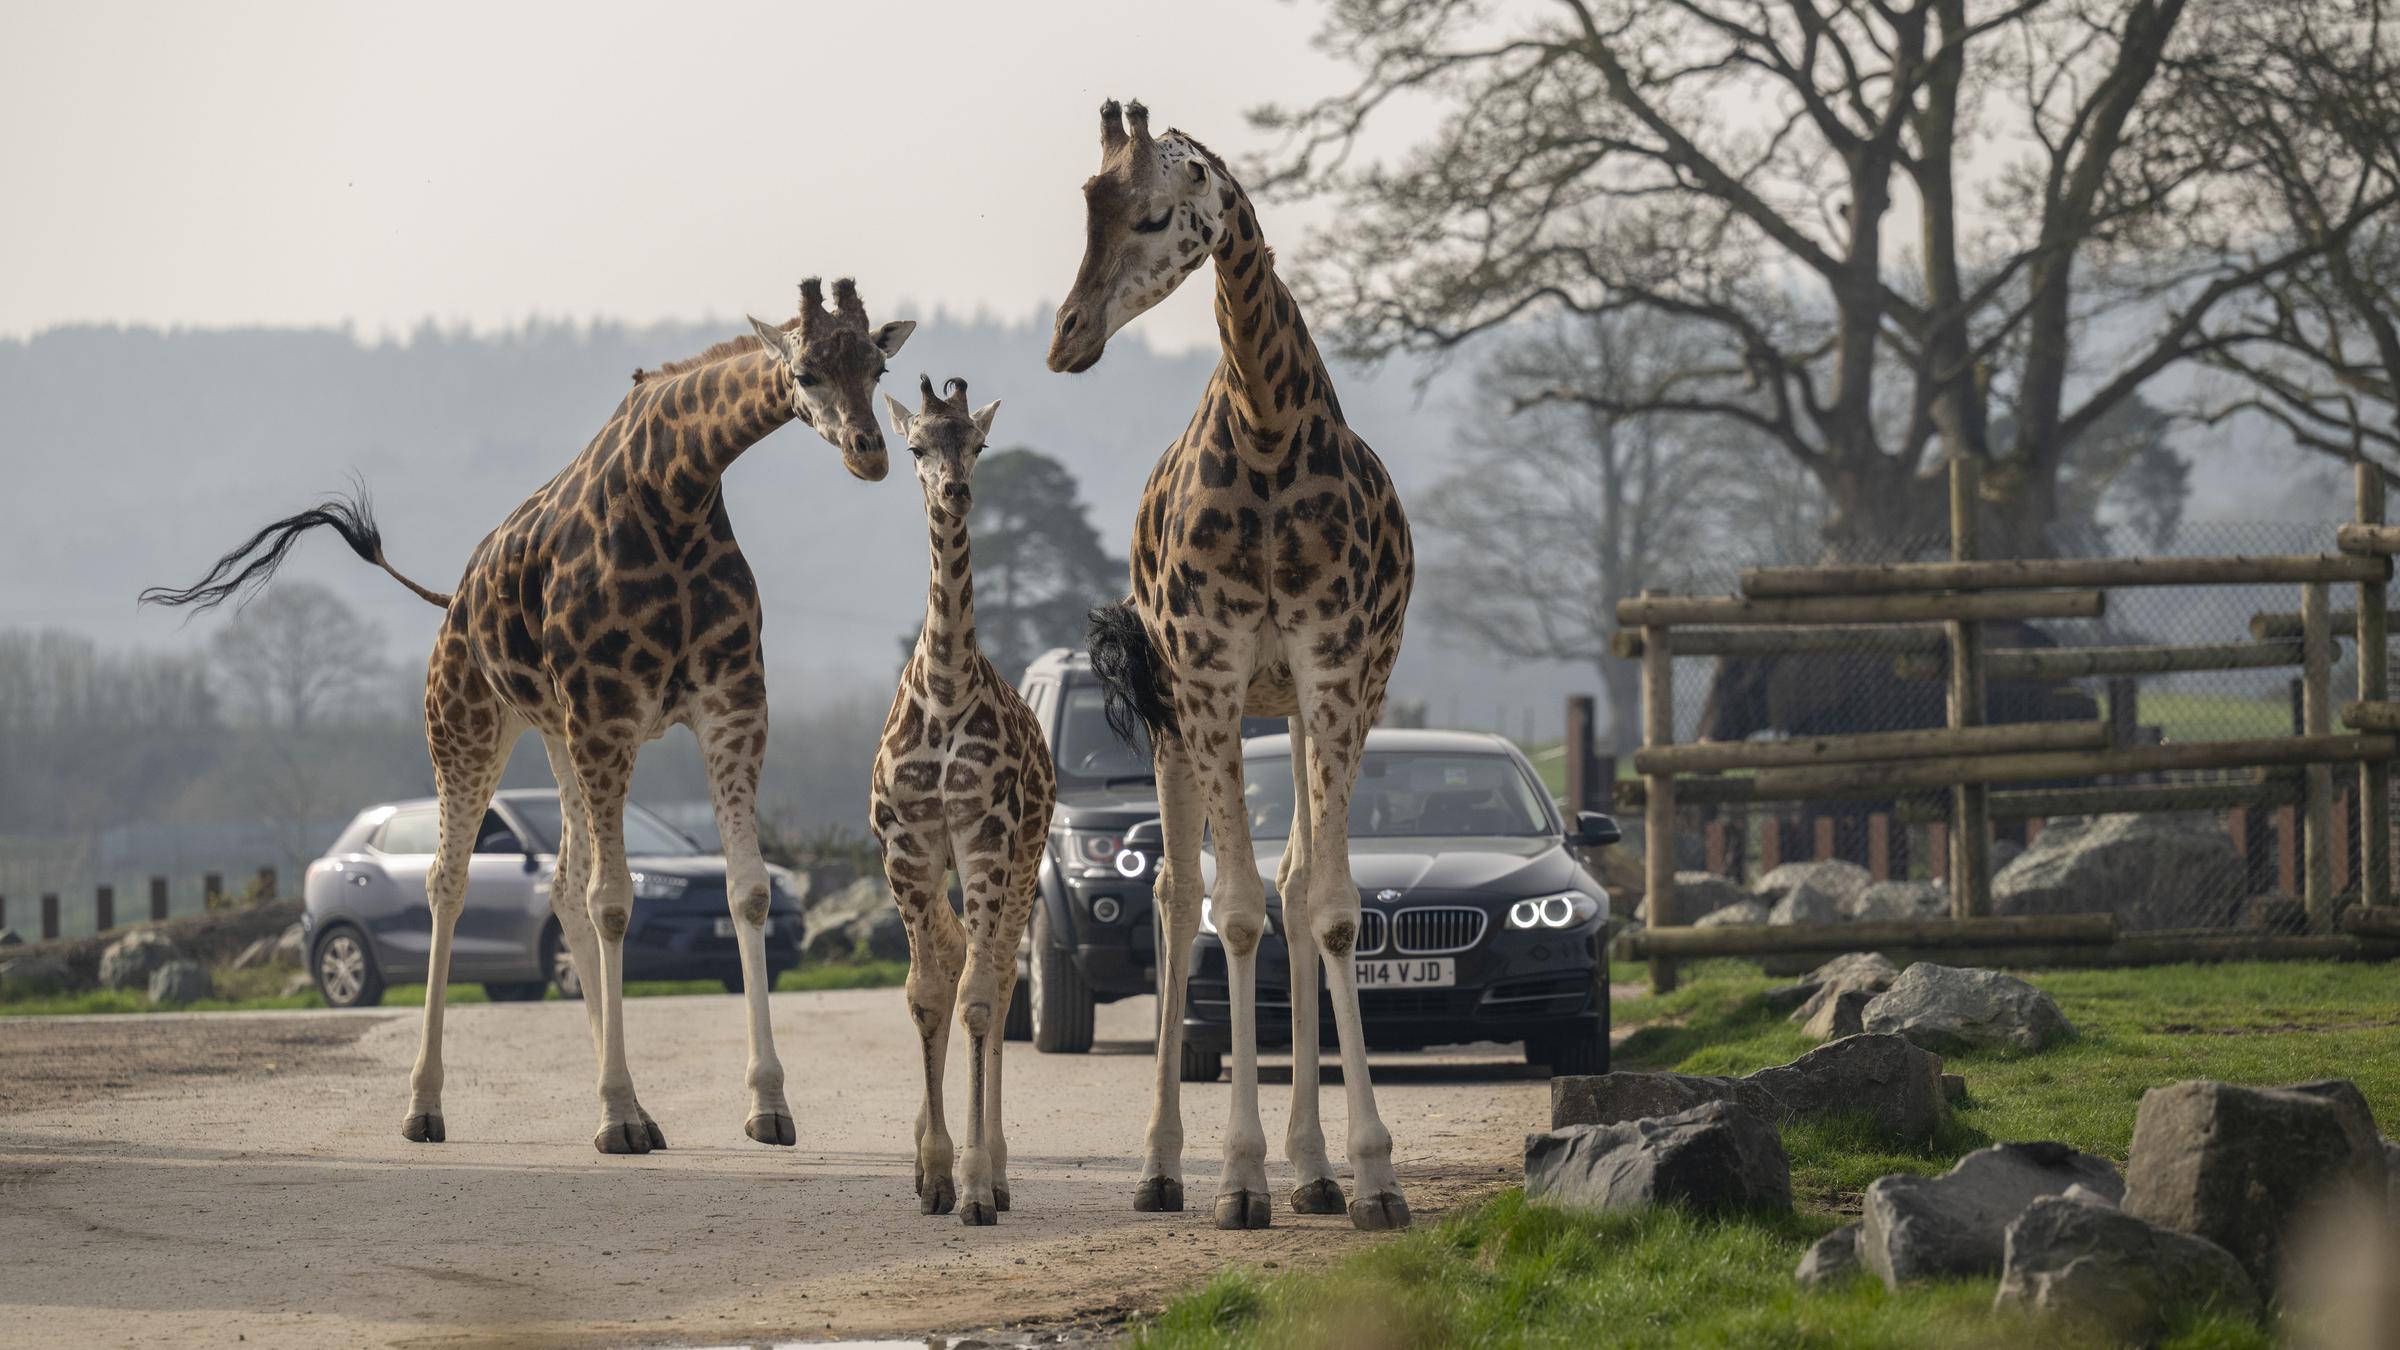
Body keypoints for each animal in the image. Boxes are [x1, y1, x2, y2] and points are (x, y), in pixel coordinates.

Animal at [140, 278, 915, 1154]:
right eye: (808, 372)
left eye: (879, 367)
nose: (869, 452)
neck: (677, 492)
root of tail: (451, 600)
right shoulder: (607, 712)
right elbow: (616, 901)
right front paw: (612, 1116)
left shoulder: (730, 705)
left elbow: (742, 891)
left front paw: (766, 1104)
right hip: (468, 725)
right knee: (450, 882)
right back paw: (427, 1106)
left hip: (555, 737)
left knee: (560, 887)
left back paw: (637, 1109)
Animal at [1049, 101, 1416, 1232]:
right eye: (1086, 207)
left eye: (1152, 216)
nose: (1065, 337)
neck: (1267, 426)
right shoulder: (1208, 675)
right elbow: (1234, 911)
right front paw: (1239, 1179)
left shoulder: (1336, 671)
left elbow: (1325, 907)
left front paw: (1369, 1174)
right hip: (1178, 711)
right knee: (1176, 895)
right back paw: (1164, 1167)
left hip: (1292, 706)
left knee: (1292, 885)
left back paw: (1316, 1171)